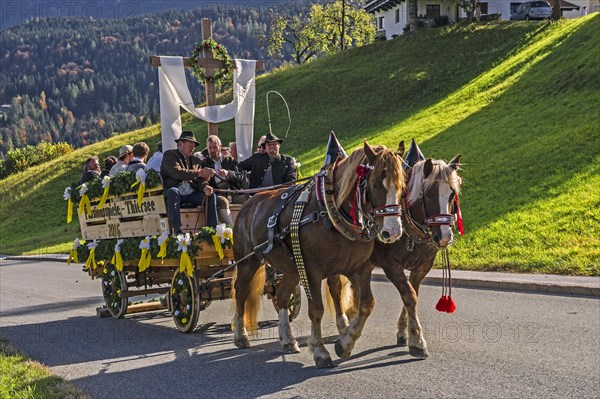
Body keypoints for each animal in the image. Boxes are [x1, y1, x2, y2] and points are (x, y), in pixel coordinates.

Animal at [232, 141, 406, 368]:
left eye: (402, 186)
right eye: (376, 183)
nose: (392, 231)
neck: (331, 211)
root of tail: (249, 203)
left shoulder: (359, 269)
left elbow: (367, 304)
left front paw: (345, 342)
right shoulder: (311, 271)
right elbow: (316, 310)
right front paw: (320, 350)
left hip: (291, 268)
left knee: (282, 296)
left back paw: (288, 339)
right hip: (248, 261)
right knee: (240, 292)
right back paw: (240, 335)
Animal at [328, 155, 460, 360]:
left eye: (452, 194)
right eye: (429, 194)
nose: (445, 237)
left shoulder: (422, 267)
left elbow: (412, 294)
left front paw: (403, 332)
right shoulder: (391, 266)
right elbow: (409, 296)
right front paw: (417, 341)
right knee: (335, 287)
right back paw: (343, 325)